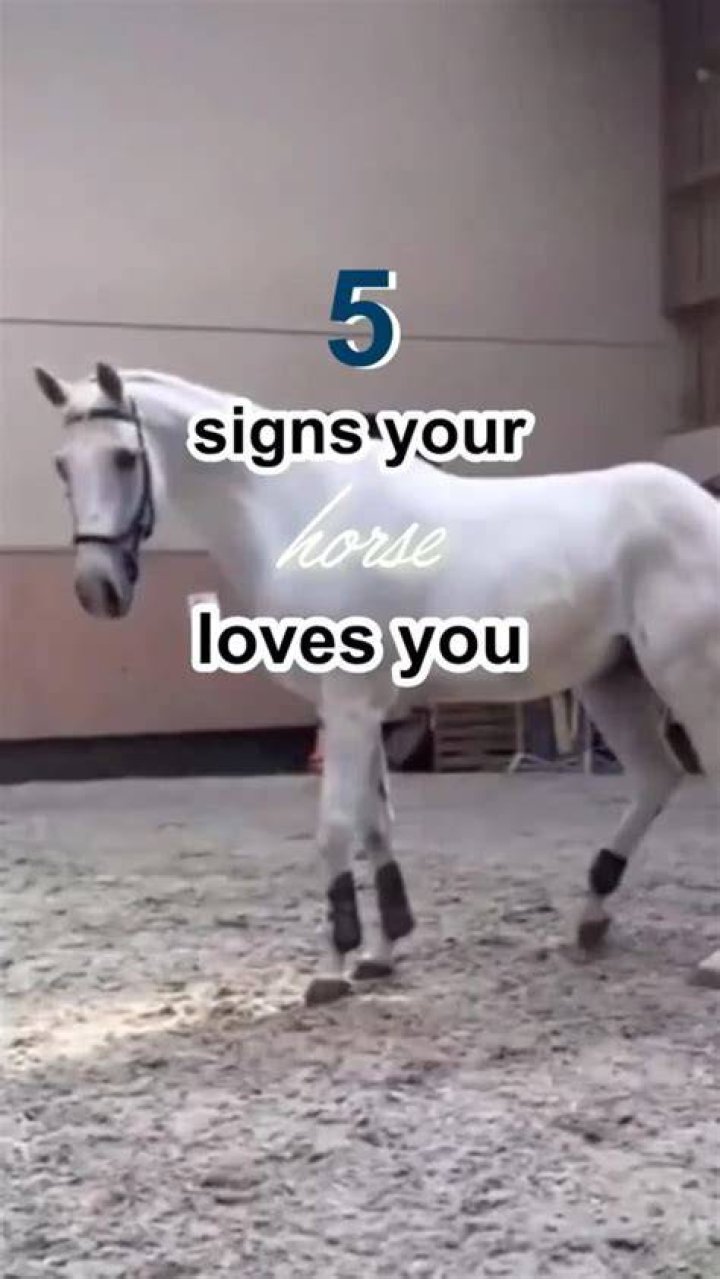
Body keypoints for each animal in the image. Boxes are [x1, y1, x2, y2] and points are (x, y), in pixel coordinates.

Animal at [34, 362, 720, 1005]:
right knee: (656, 778)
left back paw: (707, 960)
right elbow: (375, 826)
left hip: (687, 681)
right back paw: (591, 917)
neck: (301, 514)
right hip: (613, 682)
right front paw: (380, 954)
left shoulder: (350, 706)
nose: (97, 589)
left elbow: (336, 827)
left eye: (124, 457)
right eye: (62, 466)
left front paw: (332, 968)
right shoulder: (355, 713)